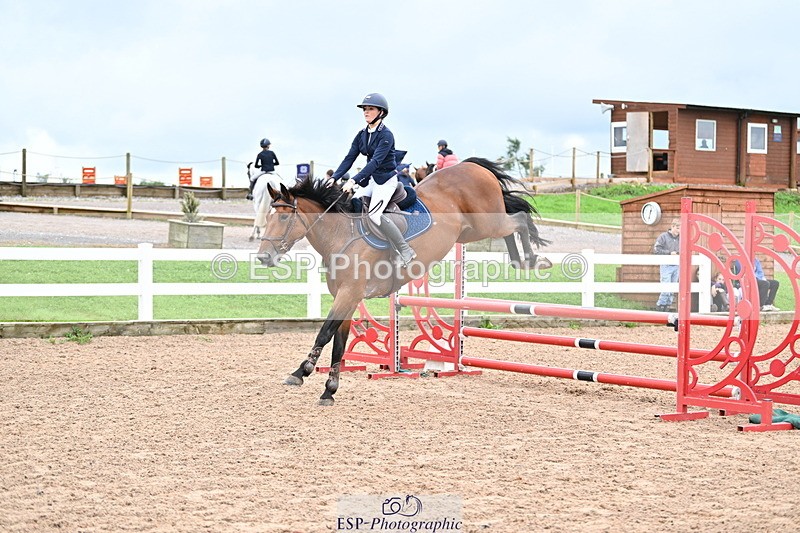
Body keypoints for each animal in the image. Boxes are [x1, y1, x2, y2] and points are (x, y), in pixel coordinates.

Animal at [257, 157, 549, 405]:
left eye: (284, 216)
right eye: (268, 216)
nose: (263, 256)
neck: (340, 234)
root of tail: (472, 166)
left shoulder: (349, 293)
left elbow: (325, 332)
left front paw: (301, 372)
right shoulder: (347, 297)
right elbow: (339, 343)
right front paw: (329, 390)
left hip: (488, 223)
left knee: (519, 219)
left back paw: (533, 259)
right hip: (472, 232)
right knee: (513, 224)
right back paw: (521, 261)